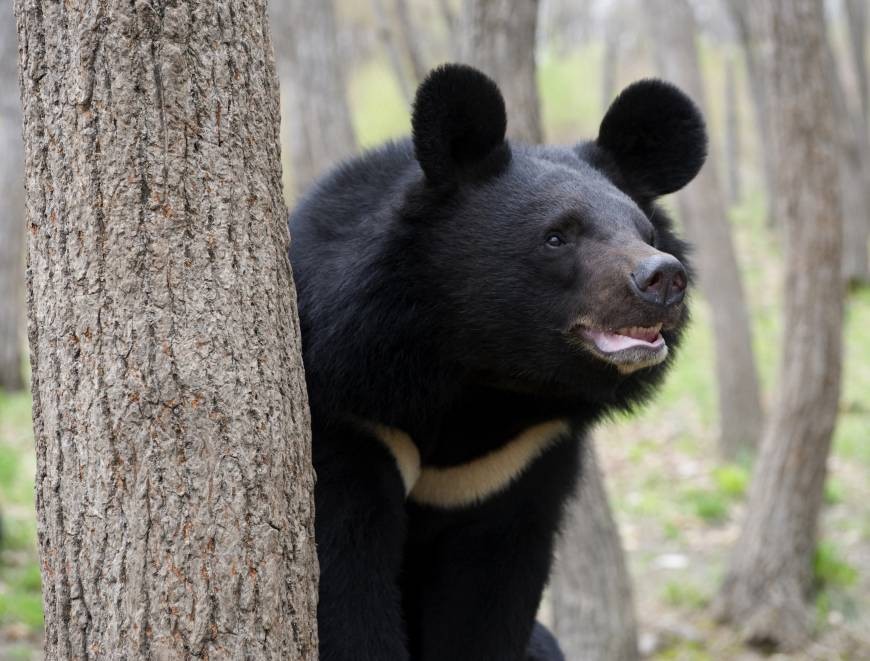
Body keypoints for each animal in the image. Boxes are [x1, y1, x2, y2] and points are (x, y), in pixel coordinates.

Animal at [288, 63, 705, 661]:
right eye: (556, 237)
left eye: (645, 233)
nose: (663, 278)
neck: (487, 377)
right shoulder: (353, 419)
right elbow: (345, 582)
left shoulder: (519, 462)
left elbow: (490, 598)